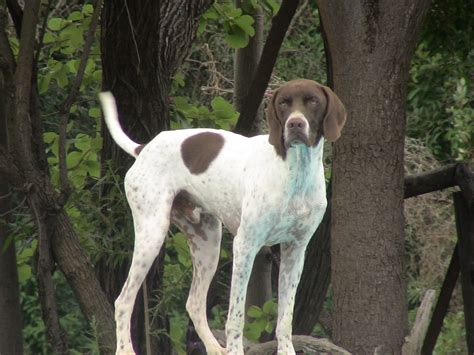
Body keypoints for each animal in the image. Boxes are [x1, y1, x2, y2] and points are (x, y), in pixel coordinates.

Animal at [99, 78, 344, 355]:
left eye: (313, 101)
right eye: (284, 103)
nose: (295, 124)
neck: (295, 172)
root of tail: (145, 148)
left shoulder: (295, 251)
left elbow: (285, 318)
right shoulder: (246, 246)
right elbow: (236, 316)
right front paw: (236, 350)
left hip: (207, 244)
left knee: (193, 303)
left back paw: (215, 348)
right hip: (152, 235)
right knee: (123, 301)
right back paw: (125, 350)